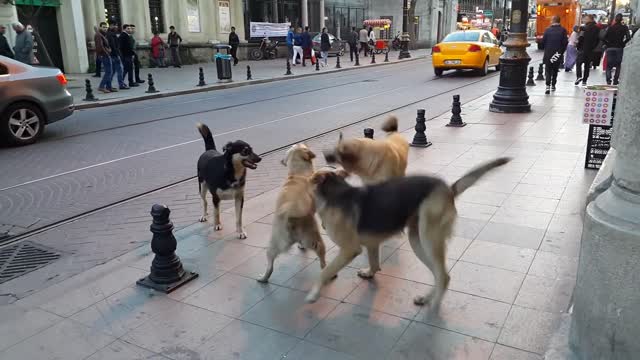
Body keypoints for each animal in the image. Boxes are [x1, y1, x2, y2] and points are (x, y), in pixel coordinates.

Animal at [304, 158, 510, 312]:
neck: (336, 192)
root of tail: (448, 189)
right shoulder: (372, 244)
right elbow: (374, 263)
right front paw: (370, 273)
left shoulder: (349, 250)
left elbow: (325, 272)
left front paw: (313, 294)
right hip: (417, 241)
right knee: (440, 274)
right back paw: (426, 298)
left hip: (428, 238)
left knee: (442, 275)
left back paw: (434, 305)